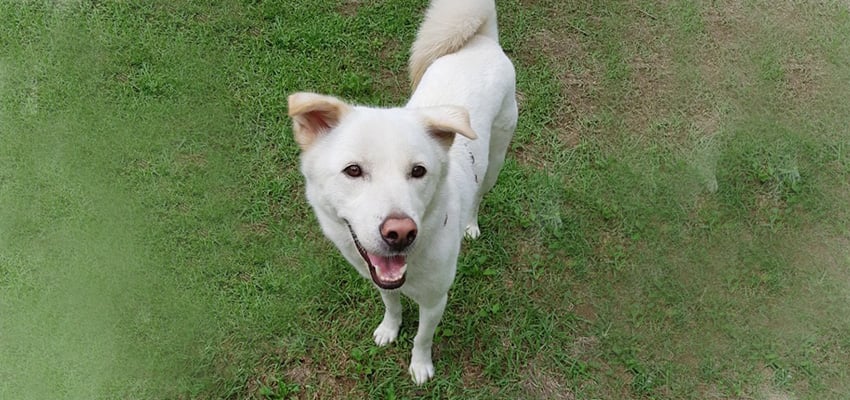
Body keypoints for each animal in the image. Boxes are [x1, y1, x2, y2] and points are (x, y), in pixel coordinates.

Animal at [284, 0, 512, 384]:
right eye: (353, 170)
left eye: (418, 171)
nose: (400, 232)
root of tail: (482, 40)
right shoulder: (378, 278)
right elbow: (391, 306)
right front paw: (389, 330)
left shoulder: (435, 301)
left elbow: (422, 337)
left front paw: (420, 366)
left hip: (496, 159)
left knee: (480, 194)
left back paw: (471, 225)